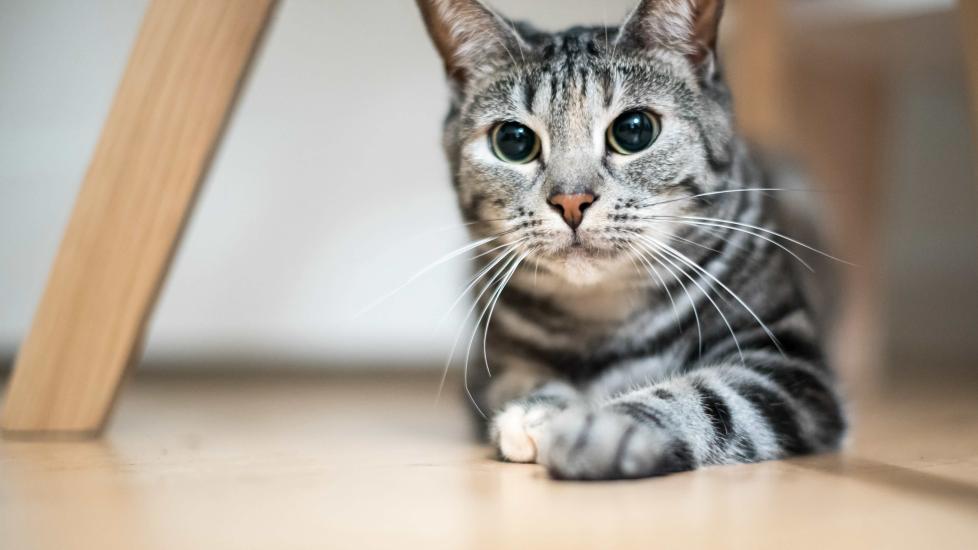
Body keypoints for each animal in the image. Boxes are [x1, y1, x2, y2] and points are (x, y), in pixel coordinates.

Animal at [416, 0, 844, 484]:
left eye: (634, 130)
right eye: (513, 140)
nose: (571, 200)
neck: (603, 323)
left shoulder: (792, 363)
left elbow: (713, 397)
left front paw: (605, 426)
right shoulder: (489, 367)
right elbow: (520, 377)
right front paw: (540, 409)